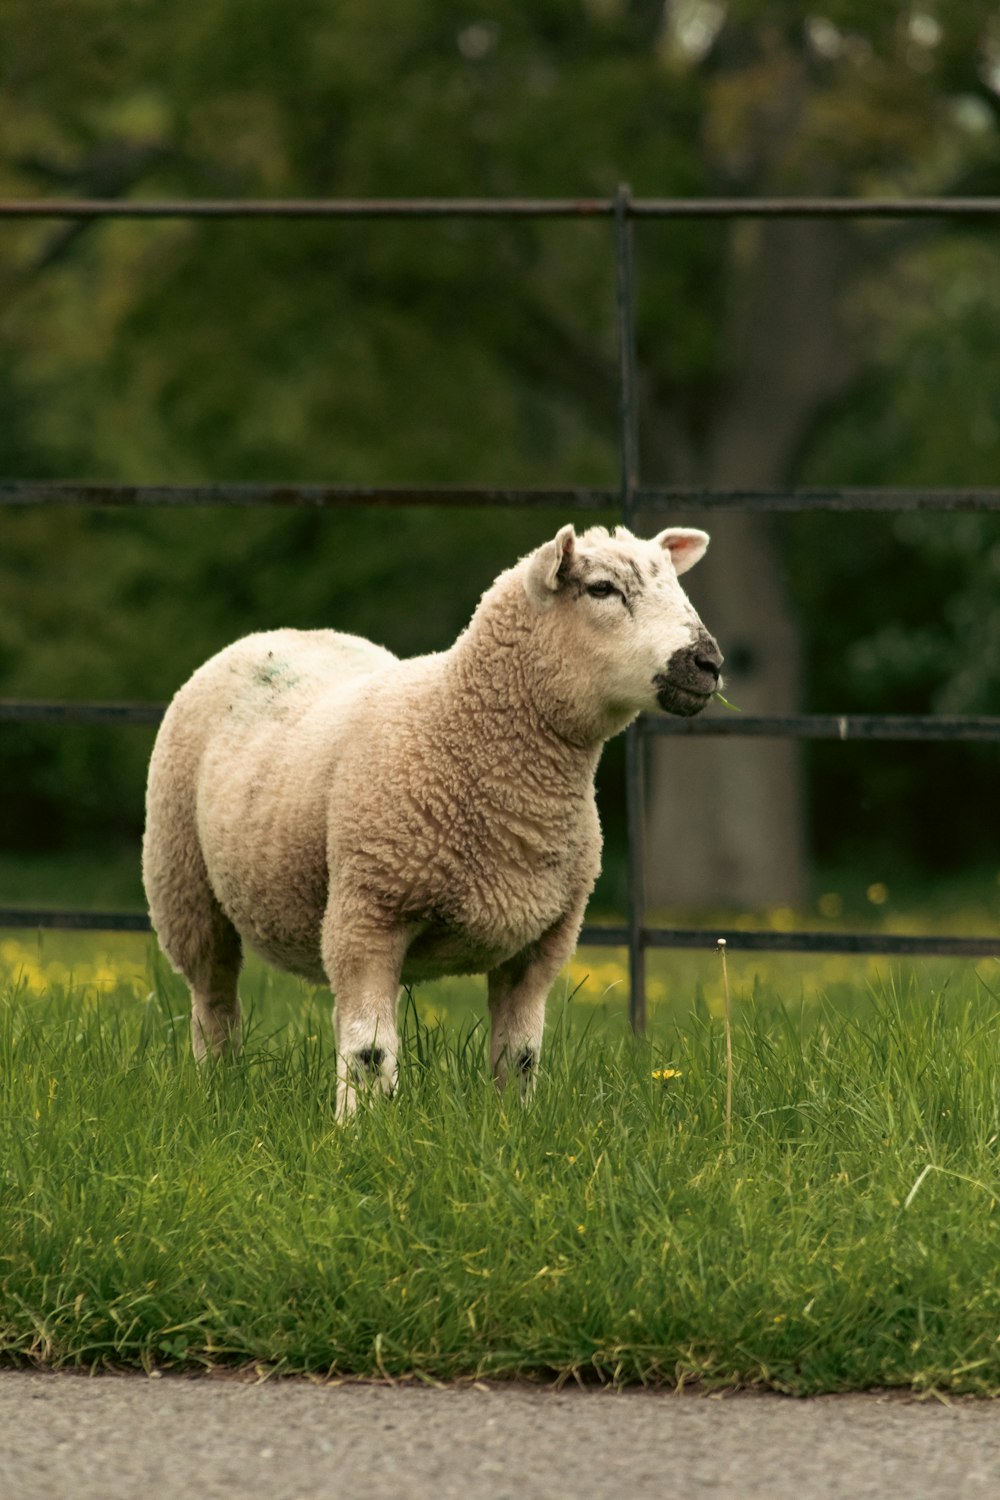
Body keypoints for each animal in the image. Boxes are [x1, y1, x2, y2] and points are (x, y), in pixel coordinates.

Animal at [142, 522, 719, 1122]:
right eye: (602, 589)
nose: (709, 663)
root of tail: (280, 632)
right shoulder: (368, 913)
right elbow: (370, 1051)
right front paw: (361, 1129)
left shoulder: (544, 940)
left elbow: (520, 1056)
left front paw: (513, 1123)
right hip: (183, 884)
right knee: (214, 1003)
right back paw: (217, 1089)